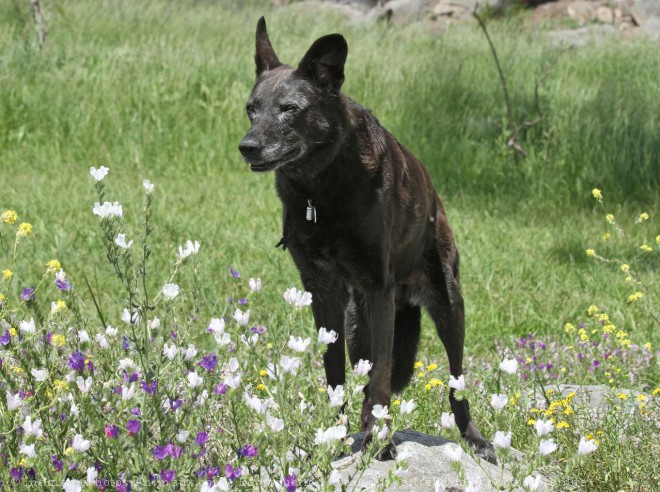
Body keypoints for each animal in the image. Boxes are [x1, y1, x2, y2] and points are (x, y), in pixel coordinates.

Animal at [241, 17, 496, 464]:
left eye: (290, 109)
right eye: (251, 109)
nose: (247, 146)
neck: (319, 191)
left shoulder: (379, 289)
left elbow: (379, 381)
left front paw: (382, 441)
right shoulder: (323, 293)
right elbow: (335, 377)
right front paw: (334, 436)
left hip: (449, 307)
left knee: (456, 384)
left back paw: (473, 438)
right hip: (358, 324)